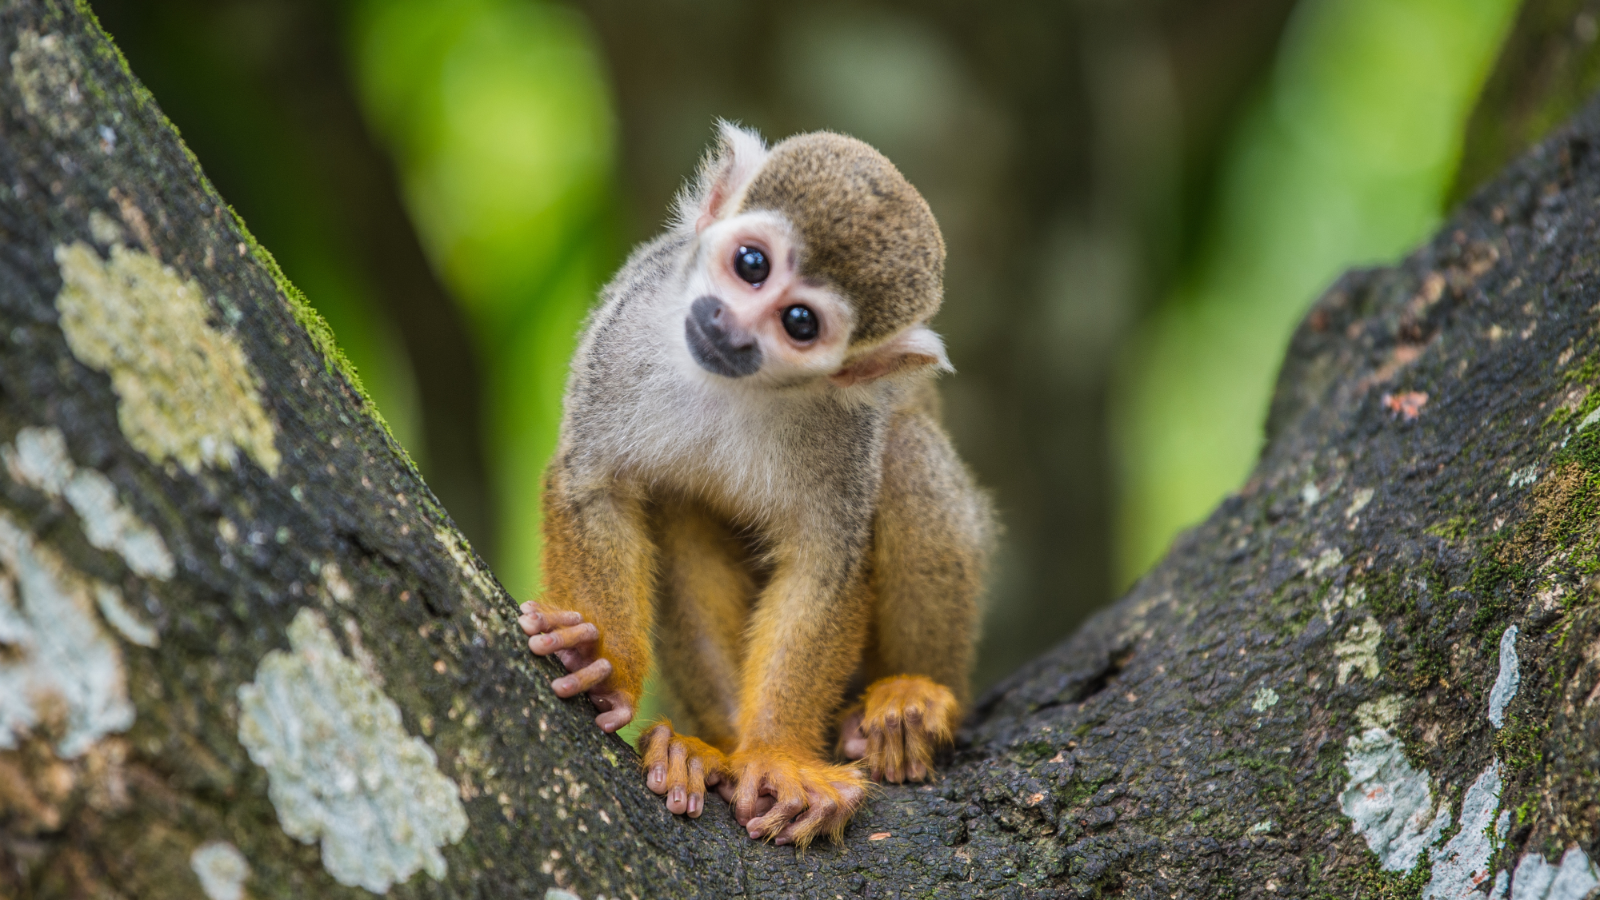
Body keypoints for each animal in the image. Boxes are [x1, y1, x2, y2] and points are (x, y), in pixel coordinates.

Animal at [518, 122, 993, 848]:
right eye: (750, 265)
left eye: (799, 323)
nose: (729, 325)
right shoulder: (630, 318)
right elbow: (597, 482)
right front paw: (600, 661)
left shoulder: (844, 423)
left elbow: (824, 564)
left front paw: (776, 755)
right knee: (678, 505)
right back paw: (705, 751)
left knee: (907, 450)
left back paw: (913, 700)